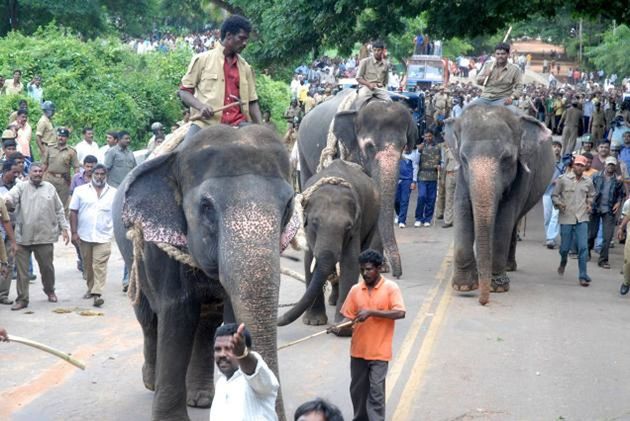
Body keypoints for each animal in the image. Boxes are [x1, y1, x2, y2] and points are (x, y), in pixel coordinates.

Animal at [112, 125, 296, 420]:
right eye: (206, 207)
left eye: (289, 204)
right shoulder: (160, 248)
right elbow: (177, 313)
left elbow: (228, 312)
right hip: (131, 256)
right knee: (147, 317)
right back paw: (151, 382)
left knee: (207, 320)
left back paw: (200, 398)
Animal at [278, 159, 380, 326]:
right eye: (314, 222)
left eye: (348, 227)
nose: (279, 318)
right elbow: (309, 262)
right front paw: (313, 322)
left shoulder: (357, 226)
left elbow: (350, 262)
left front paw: (343, 322)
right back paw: (332, 301)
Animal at [446, 104, 556, 304]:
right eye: (463, 158)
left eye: (507, 159)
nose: (483, 302)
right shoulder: (462, 176)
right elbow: (462, 208)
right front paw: (463, 287)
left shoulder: (523, 174)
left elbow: (504, 218)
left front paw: (497, 287)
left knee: (513, 223)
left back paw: (509, 267)